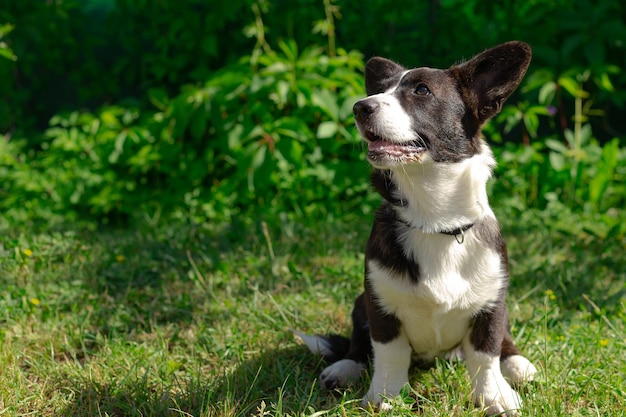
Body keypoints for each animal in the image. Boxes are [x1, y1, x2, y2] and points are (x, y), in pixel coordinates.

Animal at [296, 41, 536, 412]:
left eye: (421, 91)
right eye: (381, 89)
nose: (359, 107)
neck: (435, 221)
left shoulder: (491, 305)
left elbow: (485, 355)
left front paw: (495, 396)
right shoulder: (380, 305)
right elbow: (390, 353)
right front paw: (385, 397)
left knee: (503, 343)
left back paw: (516, 363)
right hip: (360, 302)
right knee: (358, 345)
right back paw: (344, 367)